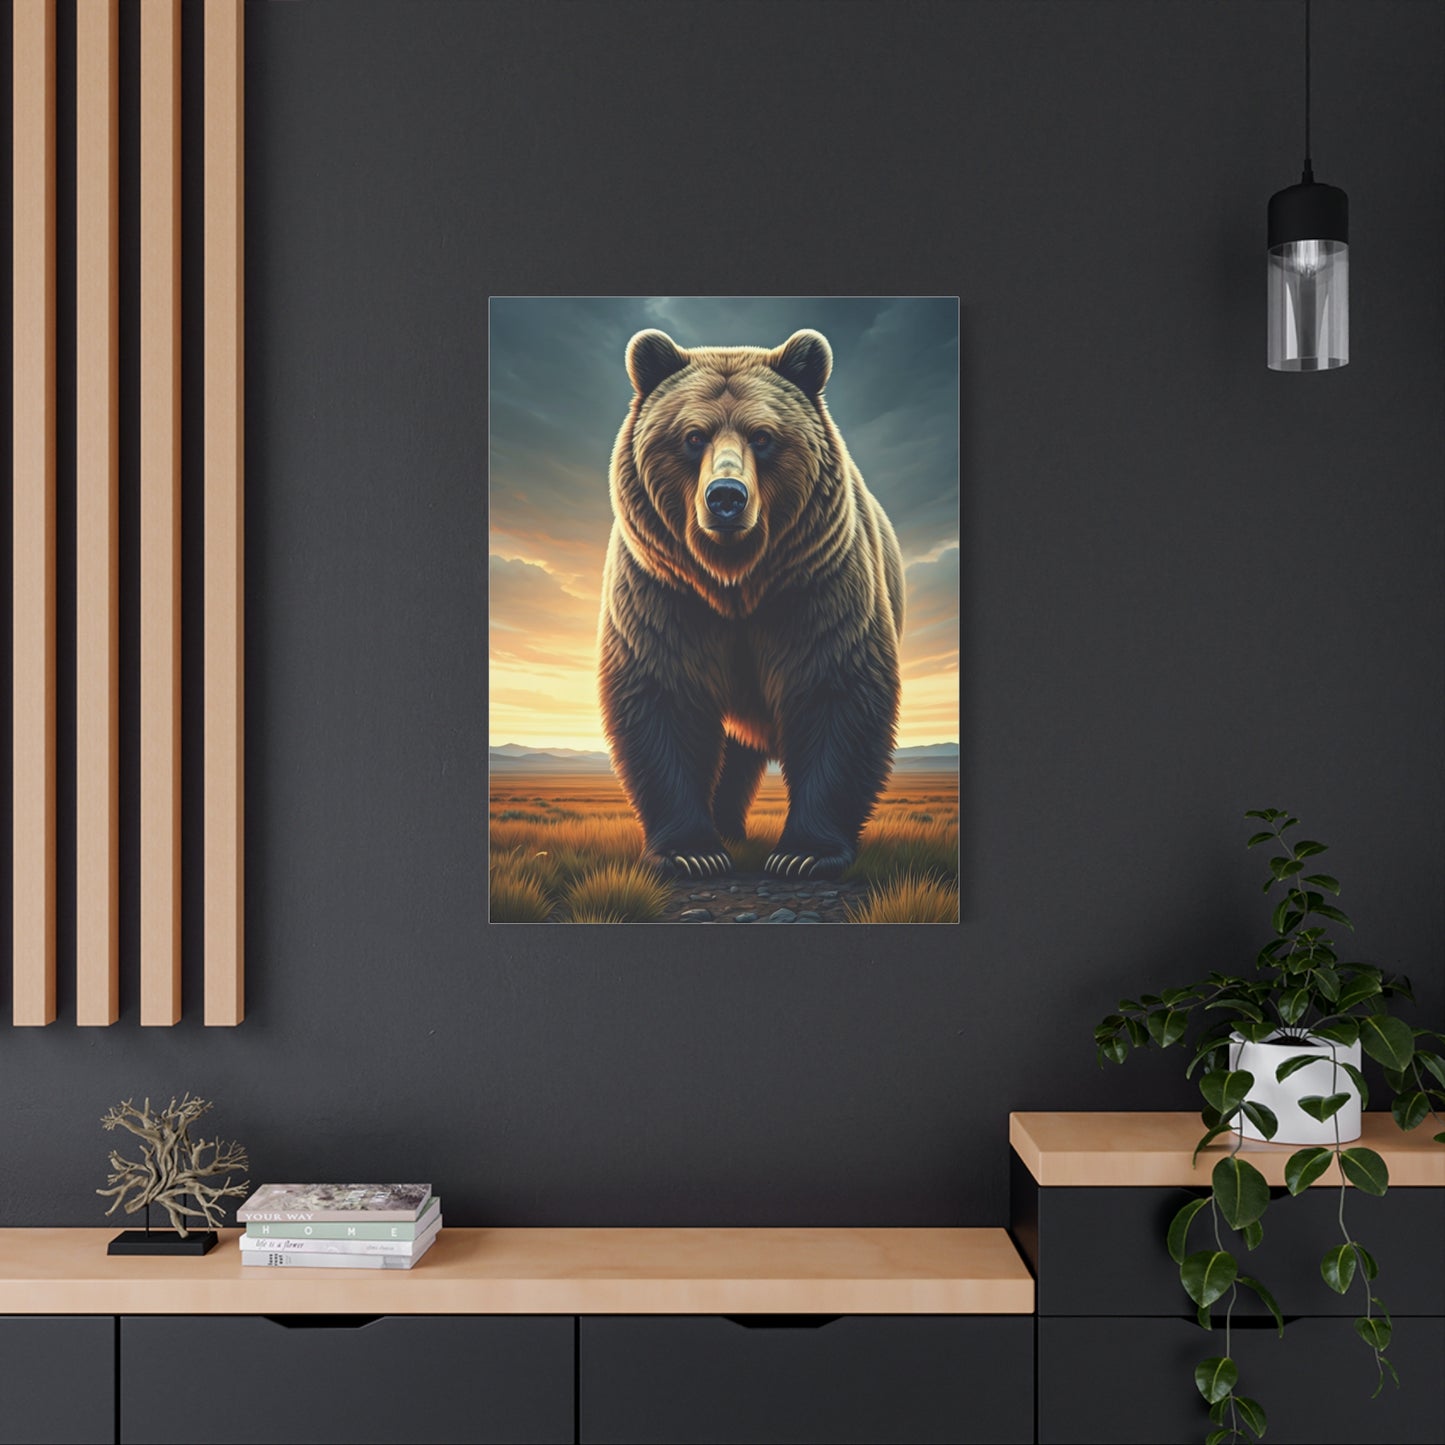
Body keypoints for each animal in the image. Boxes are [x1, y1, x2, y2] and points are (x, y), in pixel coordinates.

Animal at [598, 328, 904, 881]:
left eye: (762, 436)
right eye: (693, 436)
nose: (726, 496)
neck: (736, 582)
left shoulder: (817, 587)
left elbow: (835, 692)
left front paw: (805, 853)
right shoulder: (664, 593)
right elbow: (662, 696)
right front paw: (691, 852)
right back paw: (726, 831)